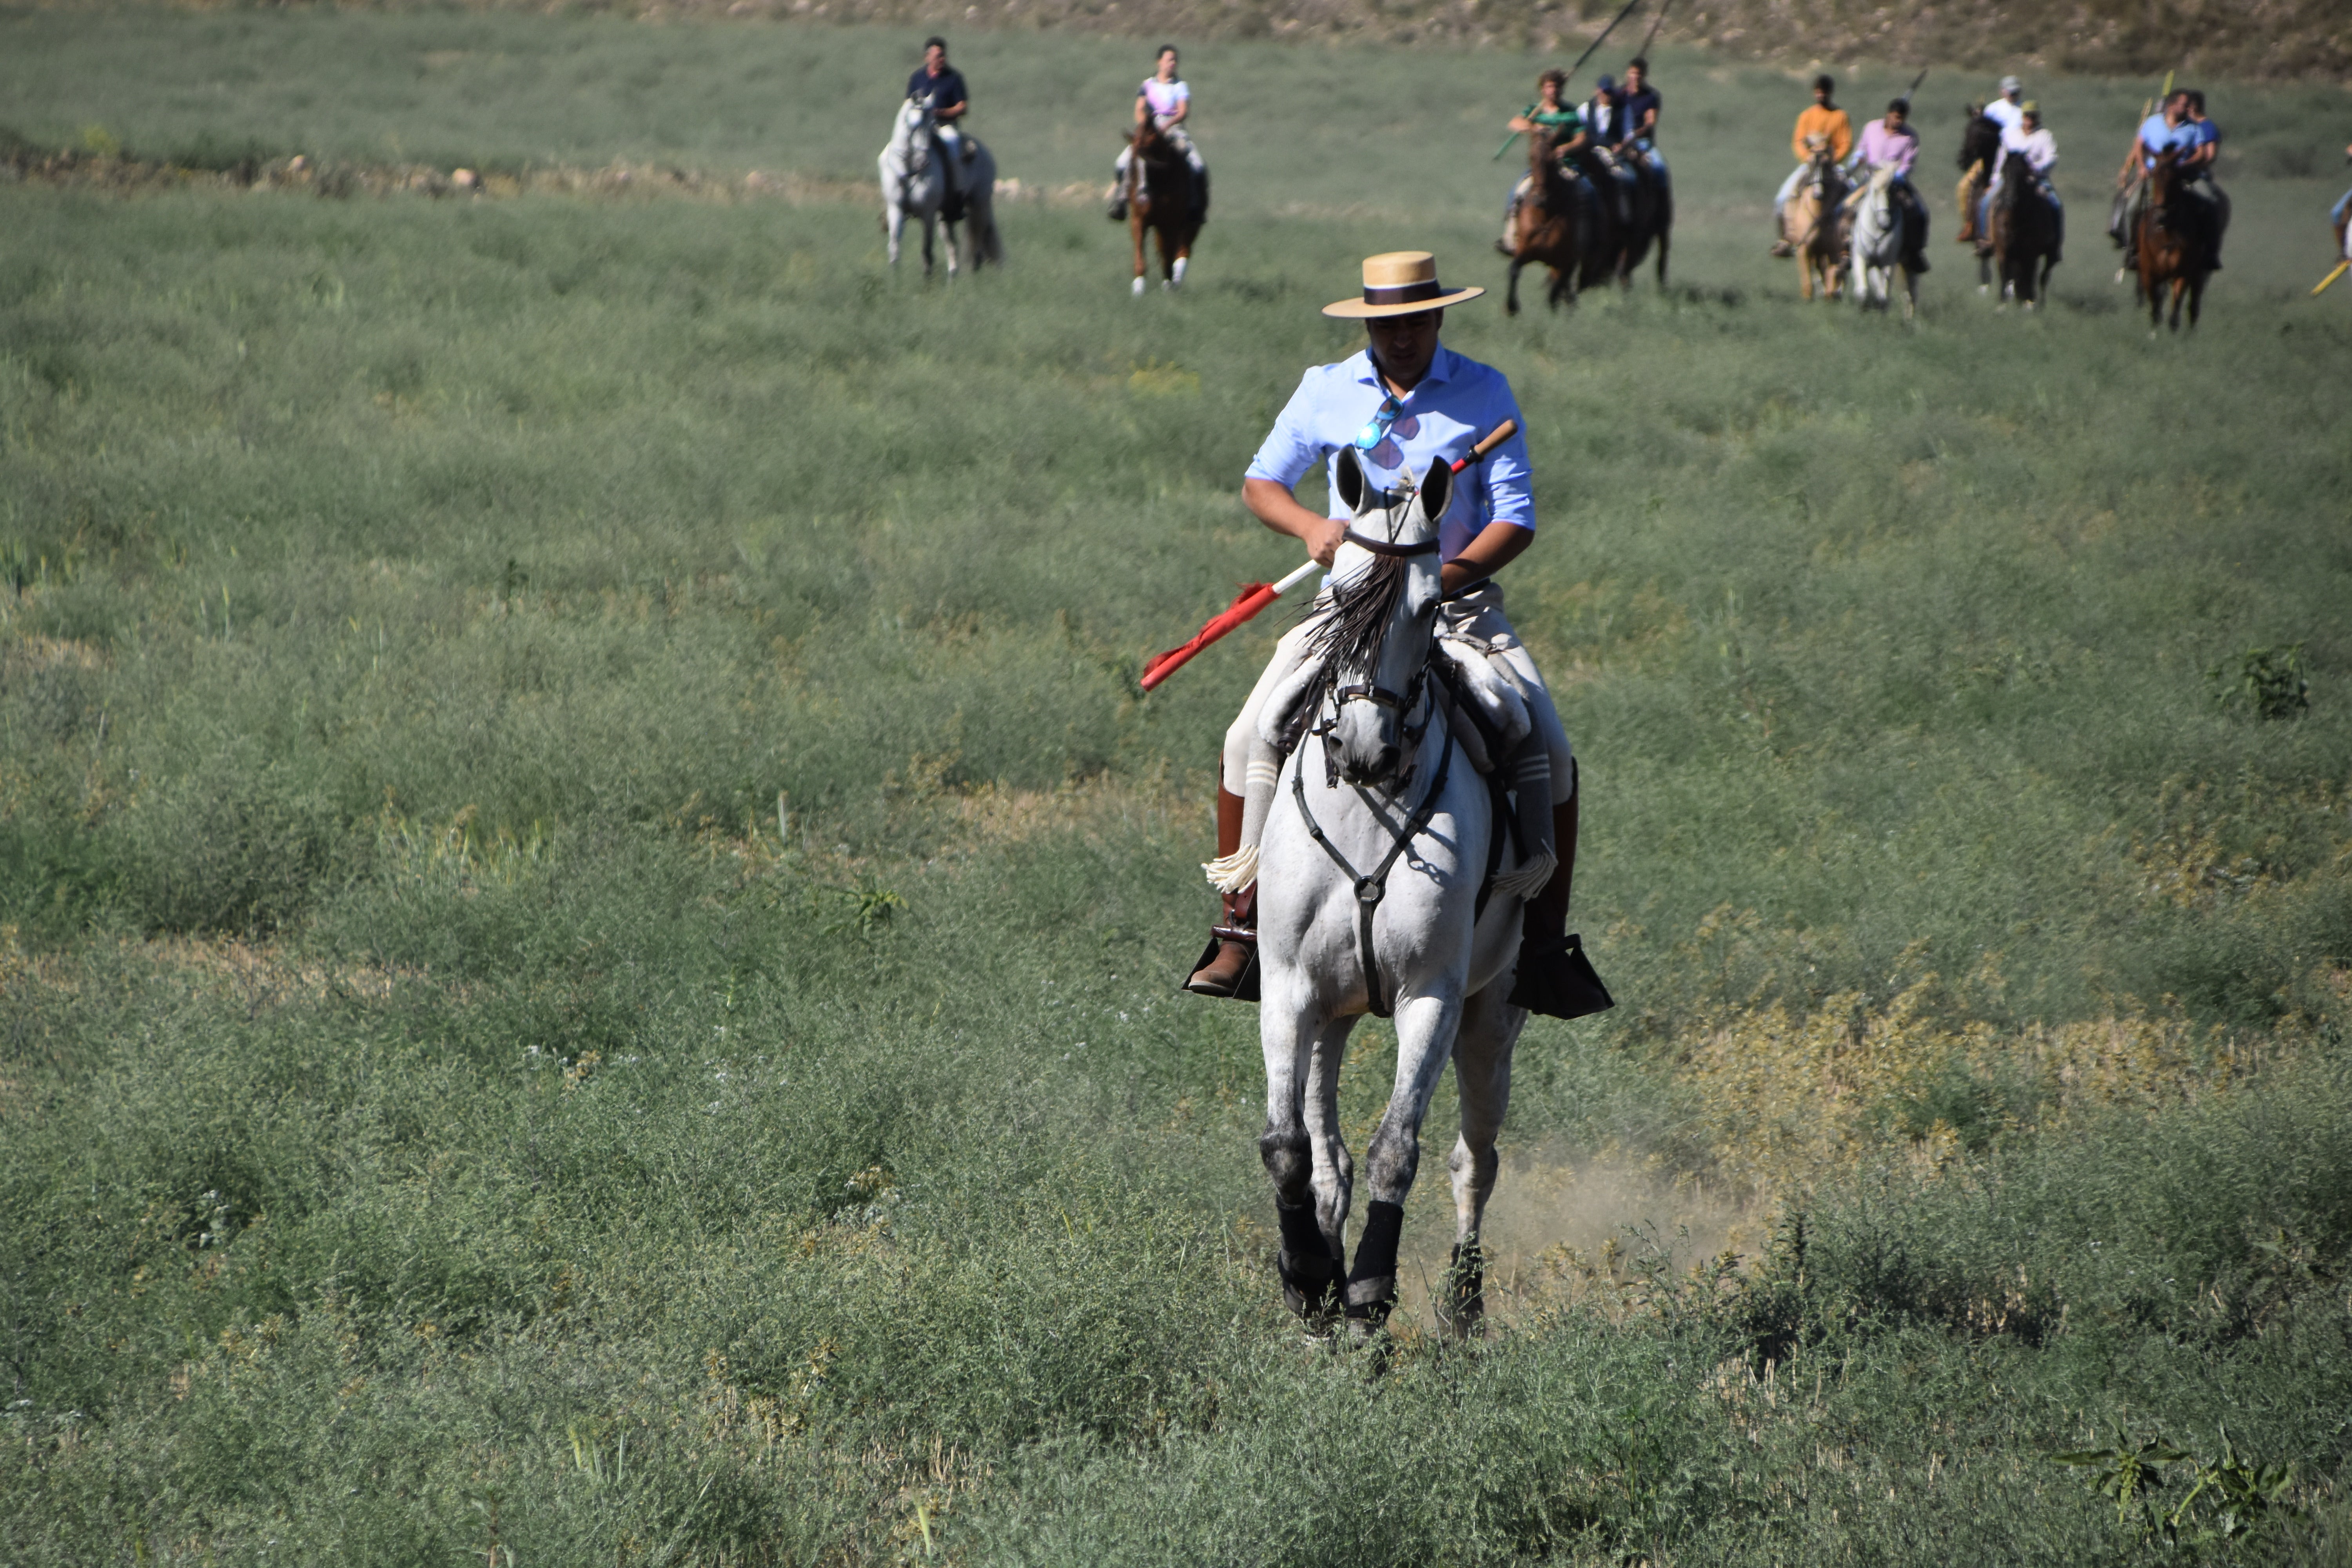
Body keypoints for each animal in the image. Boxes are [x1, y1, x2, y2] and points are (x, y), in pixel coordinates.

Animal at [875, 97, 1002, 278]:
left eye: (932, 124)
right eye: (915, 125)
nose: (922, 161)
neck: (909, 170)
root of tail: (984, 151)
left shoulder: (928, 213)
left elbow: (927, 250)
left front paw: (927, 281)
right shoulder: (896, 210)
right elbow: (895, 248)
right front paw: (895, 280)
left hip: (980, 204)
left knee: (977, 240)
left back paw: (974, 276)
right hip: (946, 215)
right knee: (952, 245)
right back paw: (953, 278)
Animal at [1124, 118, 1204, 296]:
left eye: (1151, 164)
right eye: (1132, 164)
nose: (1142, 197)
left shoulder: (1170, 224)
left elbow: (1169, 255)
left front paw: (1169, 284)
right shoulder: (1139, 221)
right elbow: (1141, 253)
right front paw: (1138, 290)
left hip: (1190, 227)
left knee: (1182, 252)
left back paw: (1175, 280)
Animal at [1261, 446, 1552, 1345]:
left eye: (1428, 609)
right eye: (1337, 592)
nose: (1363, 745)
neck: (1369, 807)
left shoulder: (1433, 993)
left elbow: (1400, 1146)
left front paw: (1368, 1288)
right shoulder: (1288, 987)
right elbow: (1286, 1144)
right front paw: (1308, 1279)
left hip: (1492, 1020)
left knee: (1475, 1159)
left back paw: (1463, 1304)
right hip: (1334, 1012)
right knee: (1329, 1156)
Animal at [1844, 164, 1919, 319]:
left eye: (1894, 190)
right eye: (1875, 190)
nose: (1885, 223)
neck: (1876, 230)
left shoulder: (1888, 262)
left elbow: (1883, 297)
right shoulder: (1860, 258)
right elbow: (1863, 292)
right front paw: (1864, 309)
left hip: (1908, 264)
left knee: (1910, 292)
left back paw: (1909, 318)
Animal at [2145, 150, 2211, 331]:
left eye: (2175, 178)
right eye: (2154, 176)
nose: (2161, 217)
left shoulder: (2182, 272)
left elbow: (2175, 307)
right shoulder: (2151, 274)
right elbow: (2156, 305)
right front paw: (2155, 330)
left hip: (2198, 275)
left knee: (2193, 305)